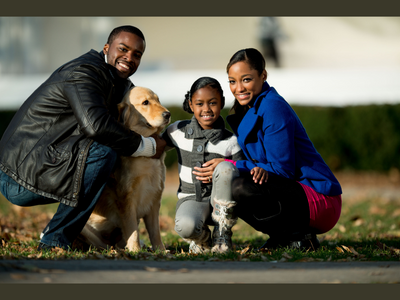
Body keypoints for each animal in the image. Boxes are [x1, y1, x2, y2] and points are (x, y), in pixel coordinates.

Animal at [79, 85, 171, 252]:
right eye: (145, 102)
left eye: (158, 100)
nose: (168, 114)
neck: (145, 159)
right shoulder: (126, 198)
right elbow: (132, 229)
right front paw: (135, 250)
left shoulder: (155, 198)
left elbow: (155, 231)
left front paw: (160, 250)